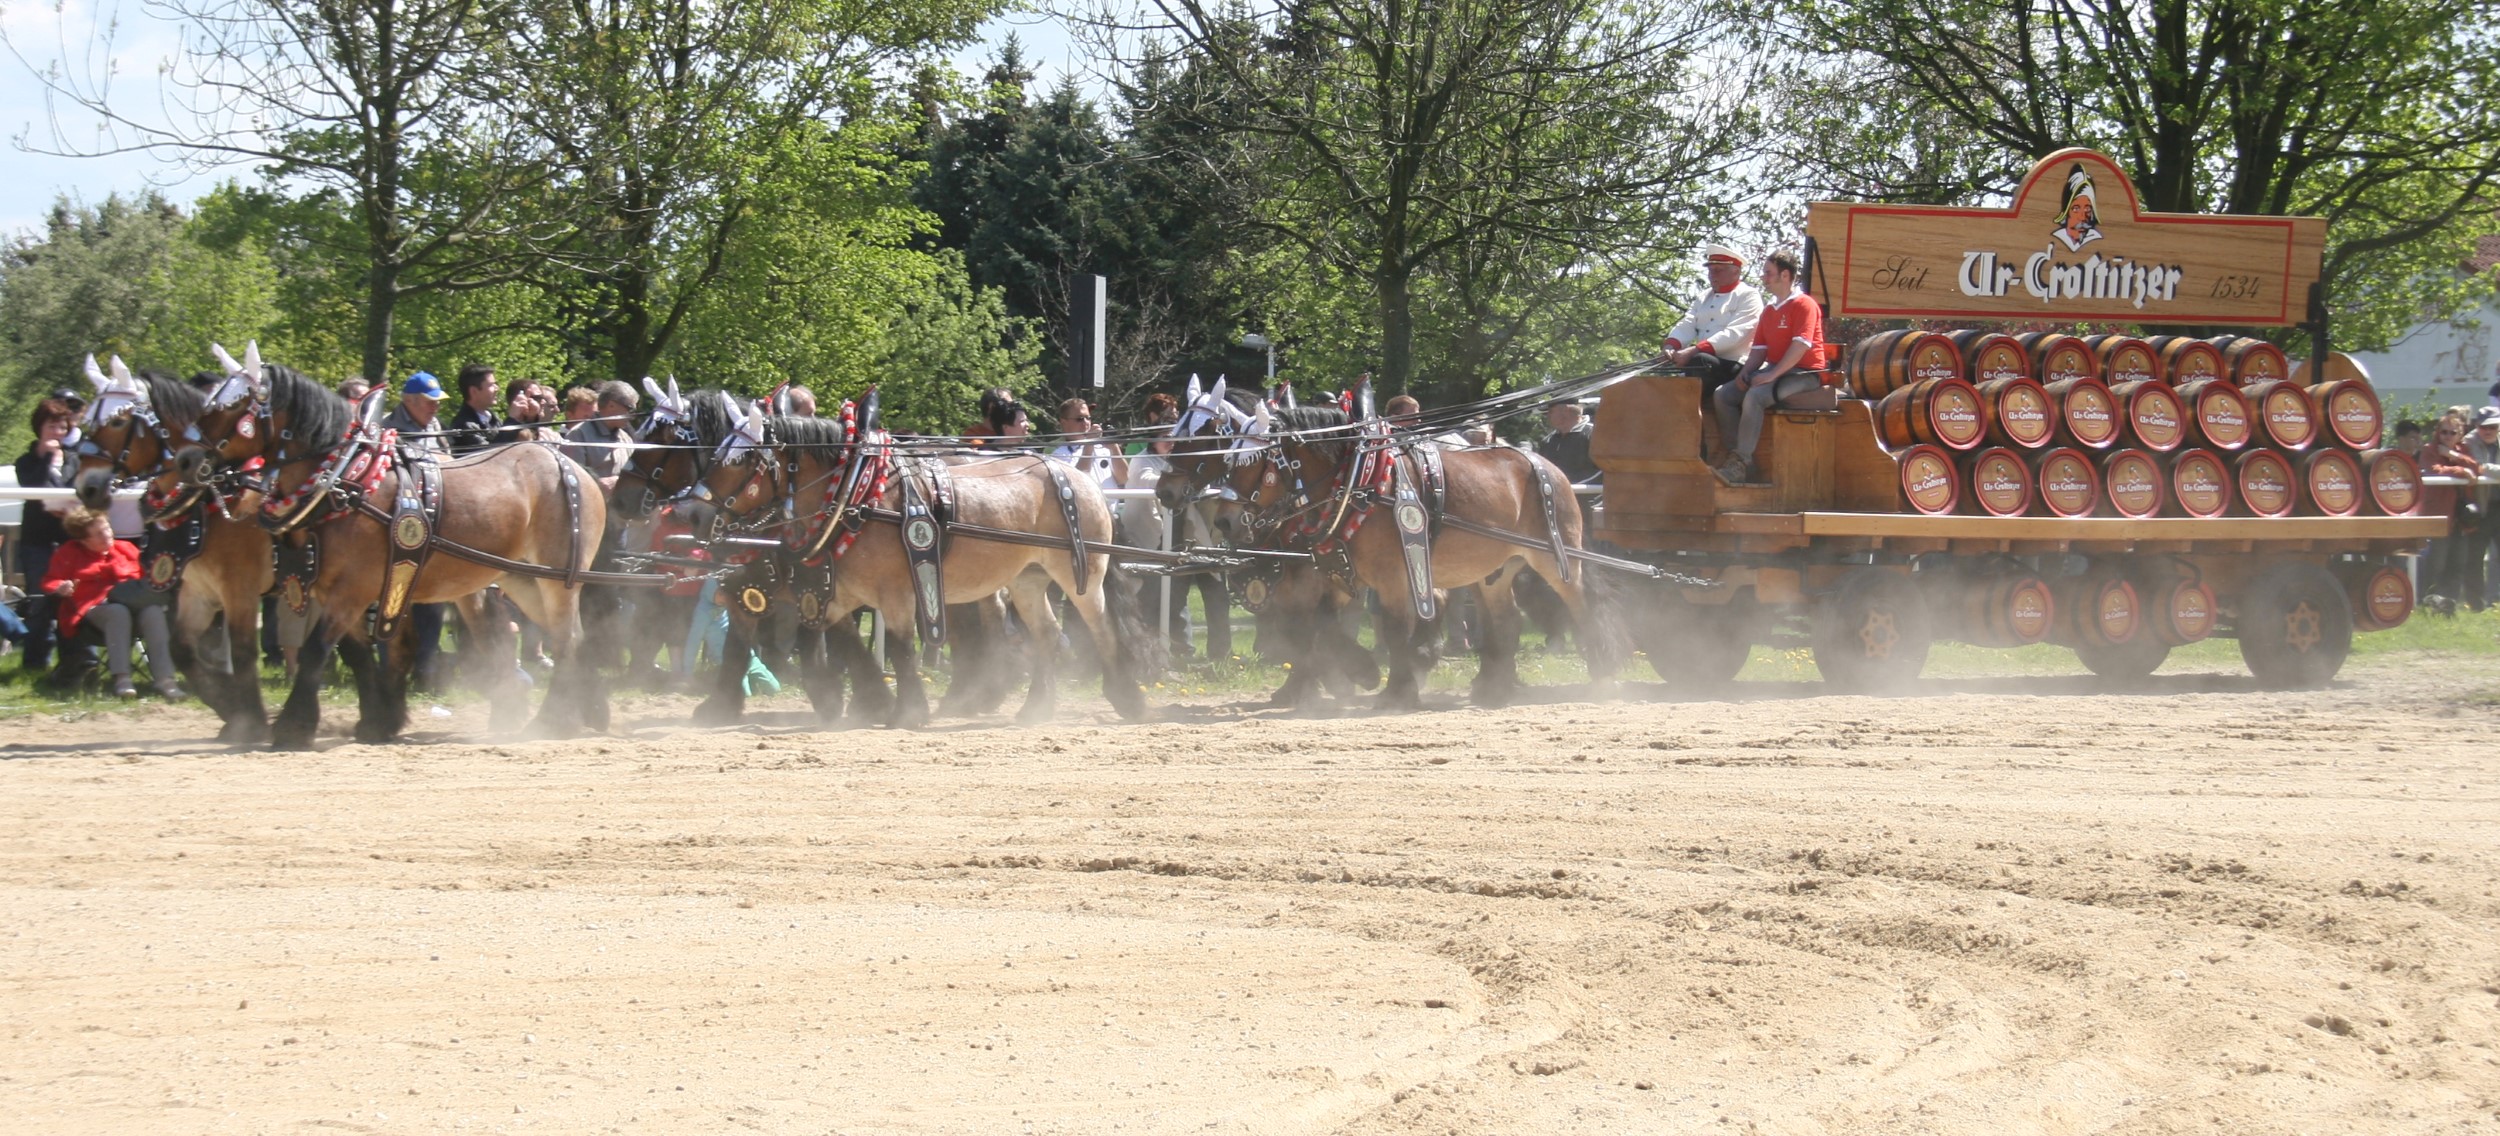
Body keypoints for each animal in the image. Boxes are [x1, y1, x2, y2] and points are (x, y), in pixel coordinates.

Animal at [177, 360, 611, 747]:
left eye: (231, 406)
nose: (185, 459)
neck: (347, 480)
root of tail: (573, 465)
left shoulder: (351, 590)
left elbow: (318, 651)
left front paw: (292, 727)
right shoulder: (343, 592)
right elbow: (359, 654)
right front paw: (377, 720)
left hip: (556, 579)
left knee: (566, 638)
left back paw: (555, 720)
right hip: (521, 578)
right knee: (566, 637)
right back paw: (582, 710)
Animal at [691, 399, 1150, 727]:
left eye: (741, 460)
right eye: (713, 455)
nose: (692, 515)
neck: (857, 495)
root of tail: (1081, 479)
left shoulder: (895, 592)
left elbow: (897, 648)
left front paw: (906, 711)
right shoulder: (832, 594)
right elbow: (845, 646)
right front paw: (871, 702)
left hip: (1082, 576)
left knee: (1101, 628)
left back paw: (1127, 697)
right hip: (1027, 580)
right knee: (1047, 636)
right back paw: (1034, 707)